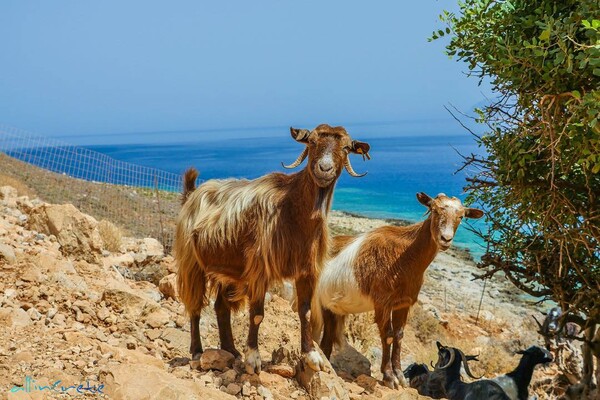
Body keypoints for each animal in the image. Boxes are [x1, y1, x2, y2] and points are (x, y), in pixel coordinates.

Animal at [175, 126, 370, 376]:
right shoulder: (260, 269)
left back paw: (230, 350)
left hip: (228, 269)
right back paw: (197, 351)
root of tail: (192, 194)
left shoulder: (307, 271)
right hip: (192, 262)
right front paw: (253, 360)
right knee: (195, 306)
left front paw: (311, 356)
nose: (324, 168)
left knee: (221, 307)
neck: (292, 211)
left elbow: (305, 312)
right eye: (312, 142)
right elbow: (257, 314)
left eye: (346, 148)